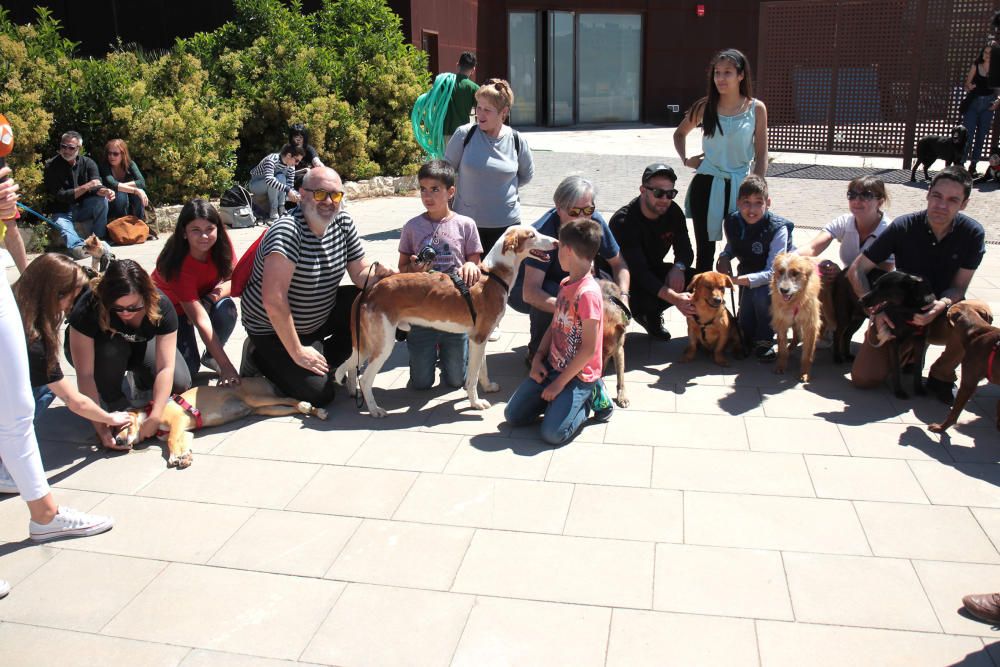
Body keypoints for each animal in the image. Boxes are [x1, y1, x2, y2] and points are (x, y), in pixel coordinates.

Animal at [115, 376, 328, 470]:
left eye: (122, 425)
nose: (117, 441)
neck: (149, 414)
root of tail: (261, 378)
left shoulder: (178, 421)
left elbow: (170, 442)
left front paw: (174, 457)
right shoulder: (185, 431)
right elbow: (182, 443)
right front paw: (184, 456)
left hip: (257, 398)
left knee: (290, 398)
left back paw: (310, 407)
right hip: (265, 409)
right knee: (291, 407)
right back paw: (313, 410)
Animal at [334, 227, 556, 420]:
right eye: (532, 235)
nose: (556, 241)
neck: (492, 275)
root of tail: (369, 289)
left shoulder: (480, 337)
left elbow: (482, 368)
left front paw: (487, 387)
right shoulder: (478, 338)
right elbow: (472, 377)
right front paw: (475, 403)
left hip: (368, 343)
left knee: (351, 366)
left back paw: (354, 393)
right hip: (383, 344)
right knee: (365, 378)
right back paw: (374, 409)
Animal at [860, 270, 936, 400]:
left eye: (882, 288)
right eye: (874, 286)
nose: (860, 300)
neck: (908, 310)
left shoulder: (921, 339)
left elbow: (918, 368)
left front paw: (919, 388)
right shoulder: (895, 340)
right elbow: (896, 367)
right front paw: (899, 391)